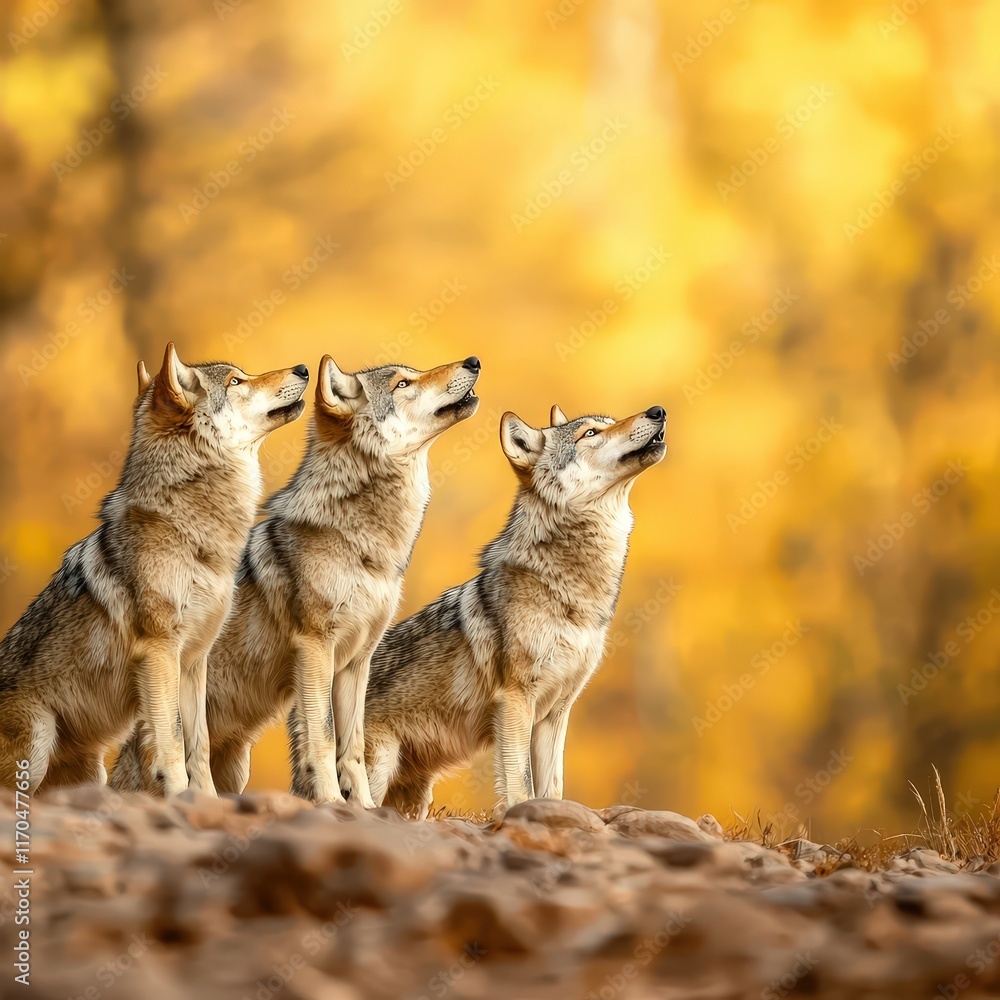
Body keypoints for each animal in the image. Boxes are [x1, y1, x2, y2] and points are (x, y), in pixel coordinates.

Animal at [0, 344, 308, 795]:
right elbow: (172, 739)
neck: (194, 535)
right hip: (36, 742)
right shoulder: (161, 652)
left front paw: (205, 800)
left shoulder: (195, 661)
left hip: (89, 771)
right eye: (236, 381)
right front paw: (178, 793)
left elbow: (199, 743)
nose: (304, 367)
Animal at [109, 354, 481, 805]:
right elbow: (322, 736)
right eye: (403, 383)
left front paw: (363, 807)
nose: (473, 360)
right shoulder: (315, 647)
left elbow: (353, 746)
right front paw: (331, 800)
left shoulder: (358, 661)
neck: (363, 544)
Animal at [364, 403, 667, 818]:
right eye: (589, 434)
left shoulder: (556, 712)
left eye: (607, 424)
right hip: (378, 768)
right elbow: (521, 784)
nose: (658, 411)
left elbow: (552, 787)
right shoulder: (516, 700)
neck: (569, 592)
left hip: (415, 796)